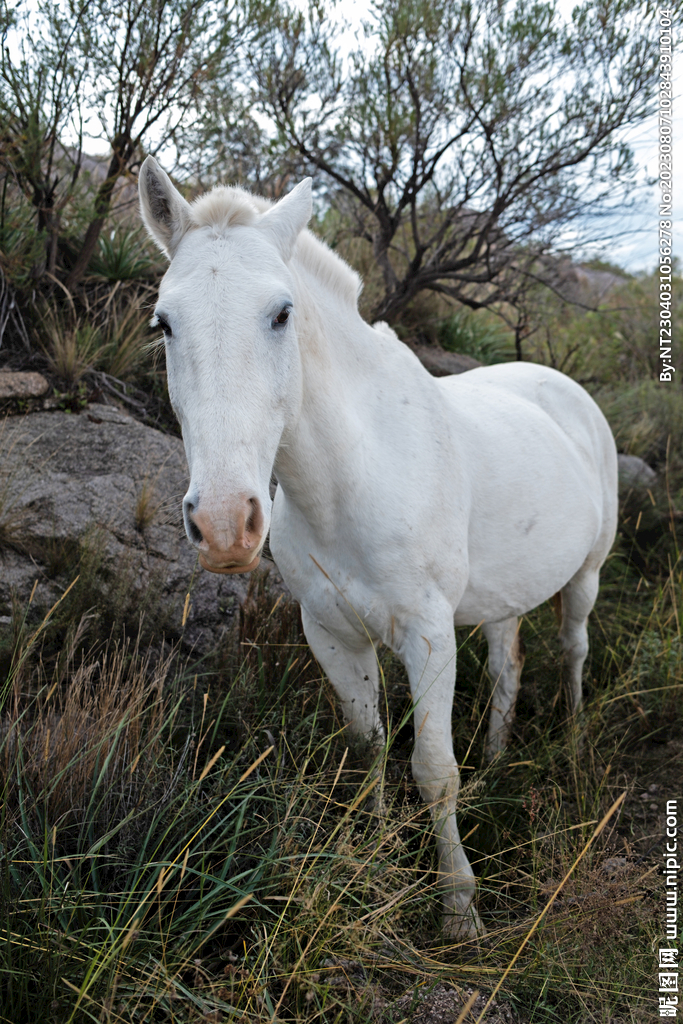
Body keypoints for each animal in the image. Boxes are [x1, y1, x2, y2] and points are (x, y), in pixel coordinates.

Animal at [139, 157, 618, 939]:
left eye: (281, 313)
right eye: (164, 322)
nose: (224, 526)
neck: (350, 480)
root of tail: (560, 385)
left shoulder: (427, 633)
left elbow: (432, 769)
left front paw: (458, 911)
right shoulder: (331, 632)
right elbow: (368, 745)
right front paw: (374, 848)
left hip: (587, 573)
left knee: (573, 650)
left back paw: (574, 749)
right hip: (502, 596)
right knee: (507, 666)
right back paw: (497, 761)